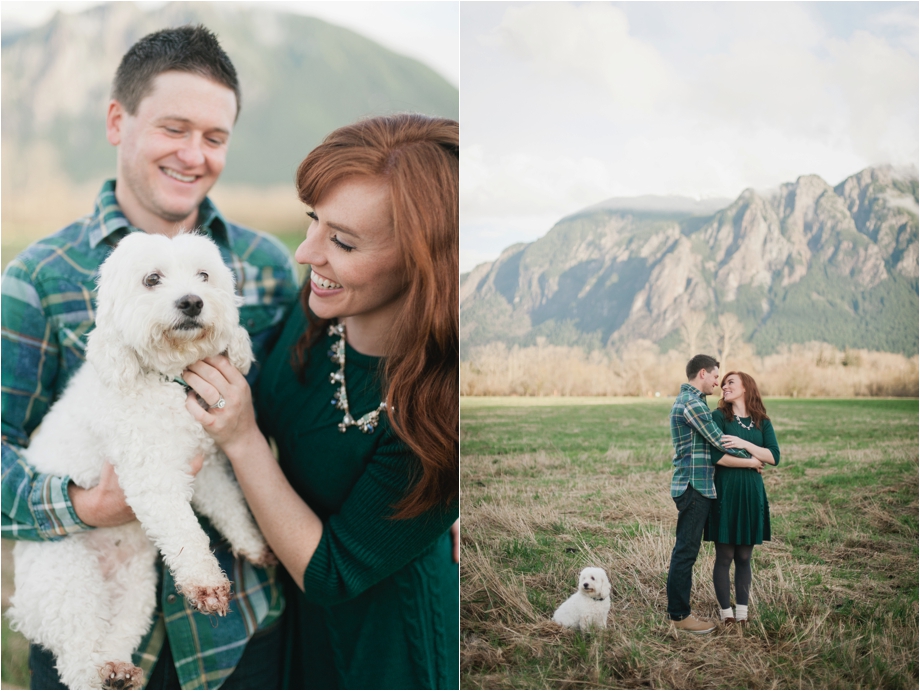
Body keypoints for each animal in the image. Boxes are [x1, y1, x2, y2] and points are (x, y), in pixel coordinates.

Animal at [8, 234, 274, 691]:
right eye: (152, 279)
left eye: (204, 275)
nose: (192, 302)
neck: (164, 379)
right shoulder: (152, 474)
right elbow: (184, 532)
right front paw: (206, 584)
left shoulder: (202, 467)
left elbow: (229, 505)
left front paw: (252, 543)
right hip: (69, 581)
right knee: (77, 659)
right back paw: (96, 672)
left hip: (136, 588)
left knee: (114, 634)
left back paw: (117, 668)